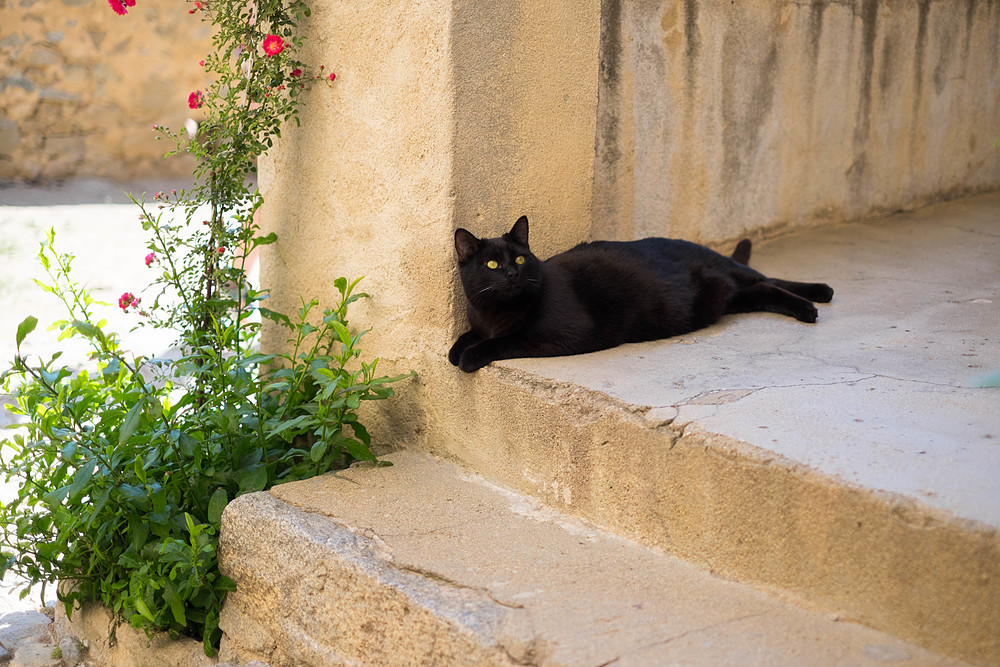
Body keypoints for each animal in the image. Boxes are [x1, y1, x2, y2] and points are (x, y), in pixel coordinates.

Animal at [450, 219, 832, 376]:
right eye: (492, 264)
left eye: (518, 259)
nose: (512, 275)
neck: (494, 314)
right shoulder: (479, 324)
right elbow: (465, 337)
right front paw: (457, 350)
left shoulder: (559, 335)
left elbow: (504, 341)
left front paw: (469, 357)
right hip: (728, 296)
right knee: (762, 289)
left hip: (730, 274)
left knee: (768, 280)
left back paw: (816, 299)